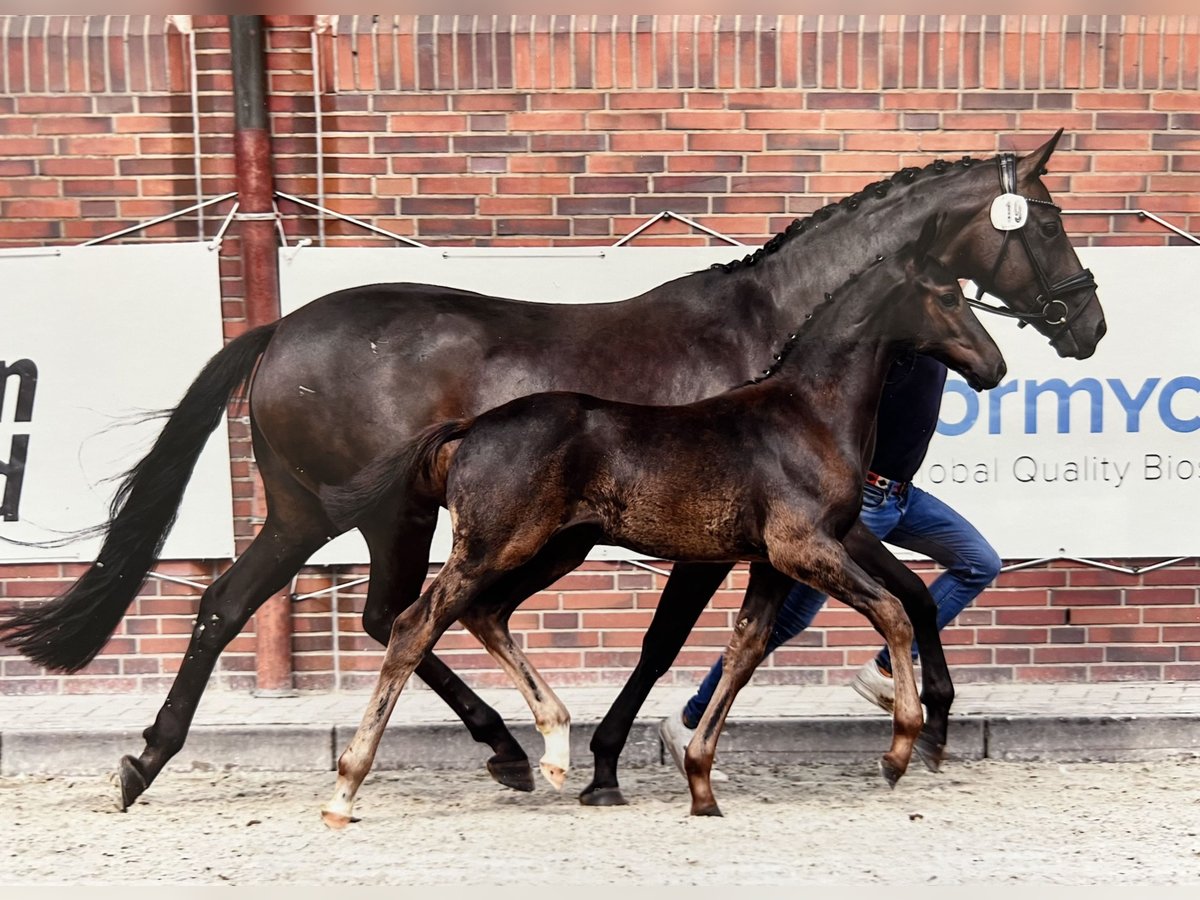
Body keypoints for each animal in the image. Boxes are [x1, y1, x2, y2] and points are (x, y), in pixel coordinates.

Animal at [319, 217, 1003, 825]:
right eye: (949, 295)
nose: (994, 367)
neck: (807, 413)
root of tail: (470, 427)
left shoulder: (772, 561)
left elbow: (746, 648)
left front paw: (700, 783)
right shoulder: (803, 548)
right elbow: (892, 611)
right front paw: (900, 749)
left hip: (554, 548)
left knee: (485, 613)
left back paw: (555, 748)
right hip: (494, 546)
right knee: (415, 625)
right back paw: (347, 789)